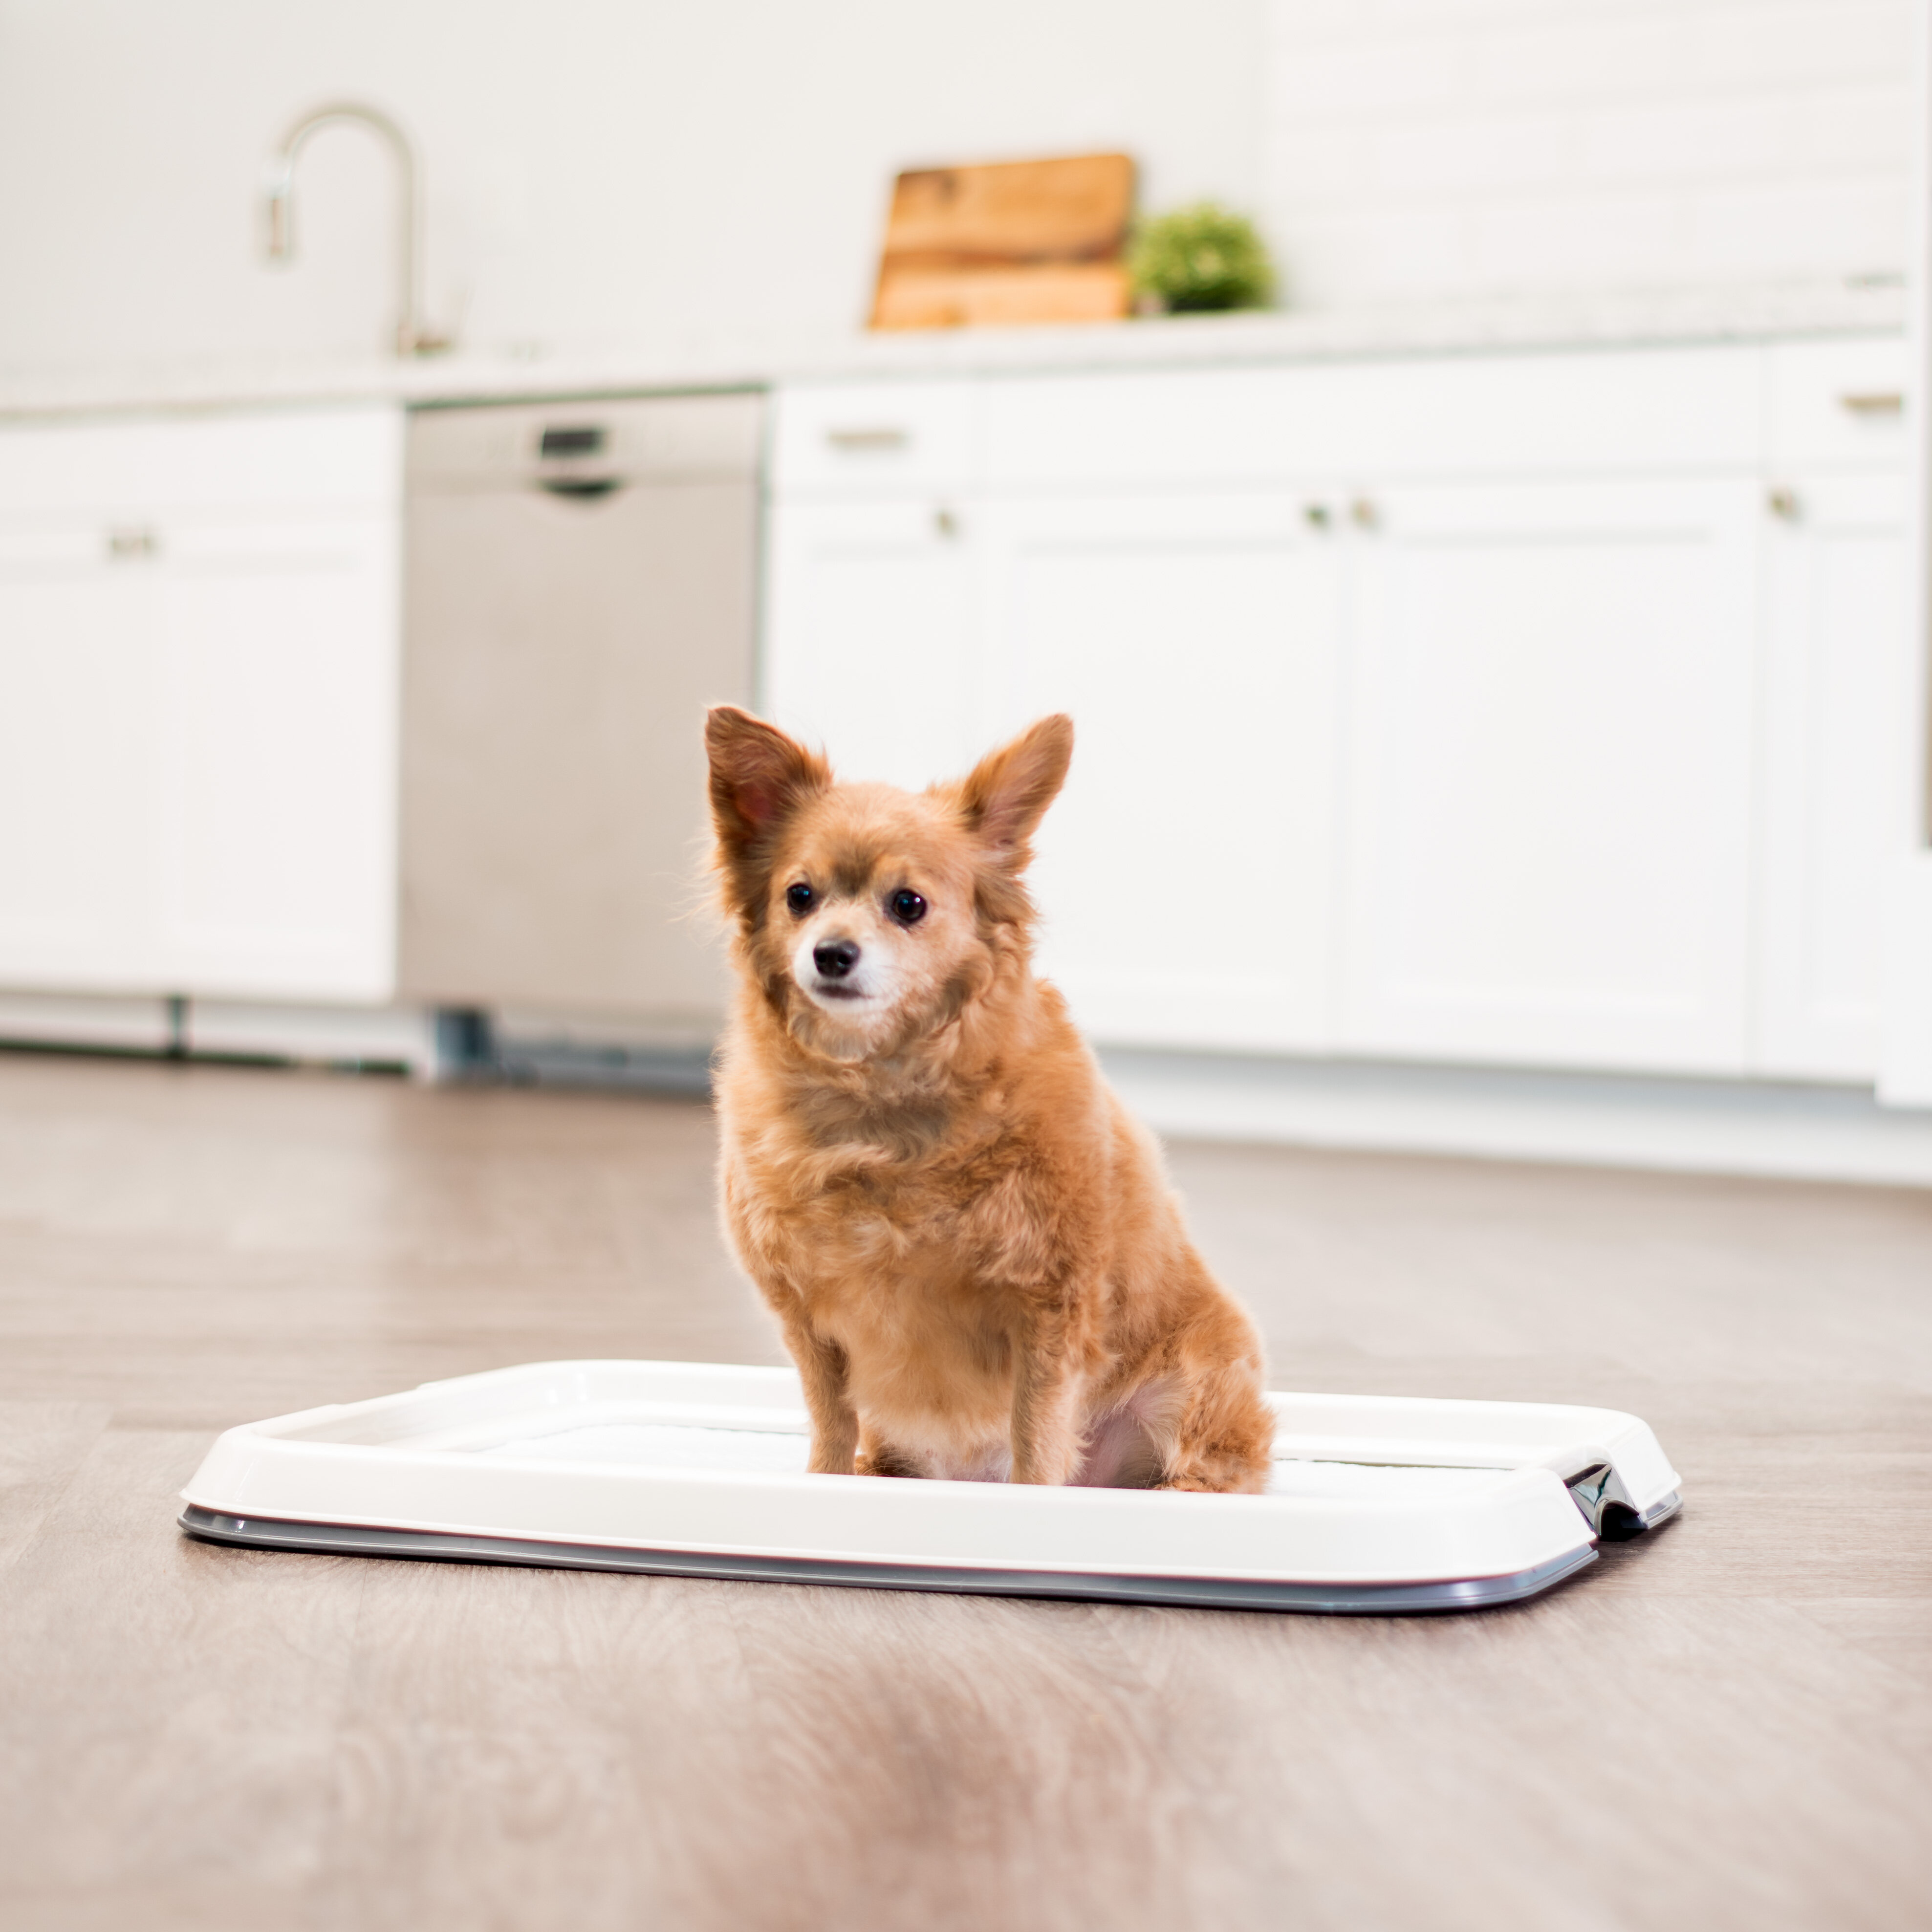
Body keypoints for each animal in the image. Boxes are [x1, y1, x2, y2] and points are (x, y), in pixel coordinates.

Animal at [703, 711, 1275, 1491]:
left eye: (907, 904)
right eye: (799, 896)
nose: (831, 952)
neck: (879, 1102)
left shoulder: (1049, 1313)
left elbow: (1035, 1439)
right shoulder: (810, 1325)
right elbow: (831, 1425)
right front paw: (826, 1483)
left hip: (1193, 1390)